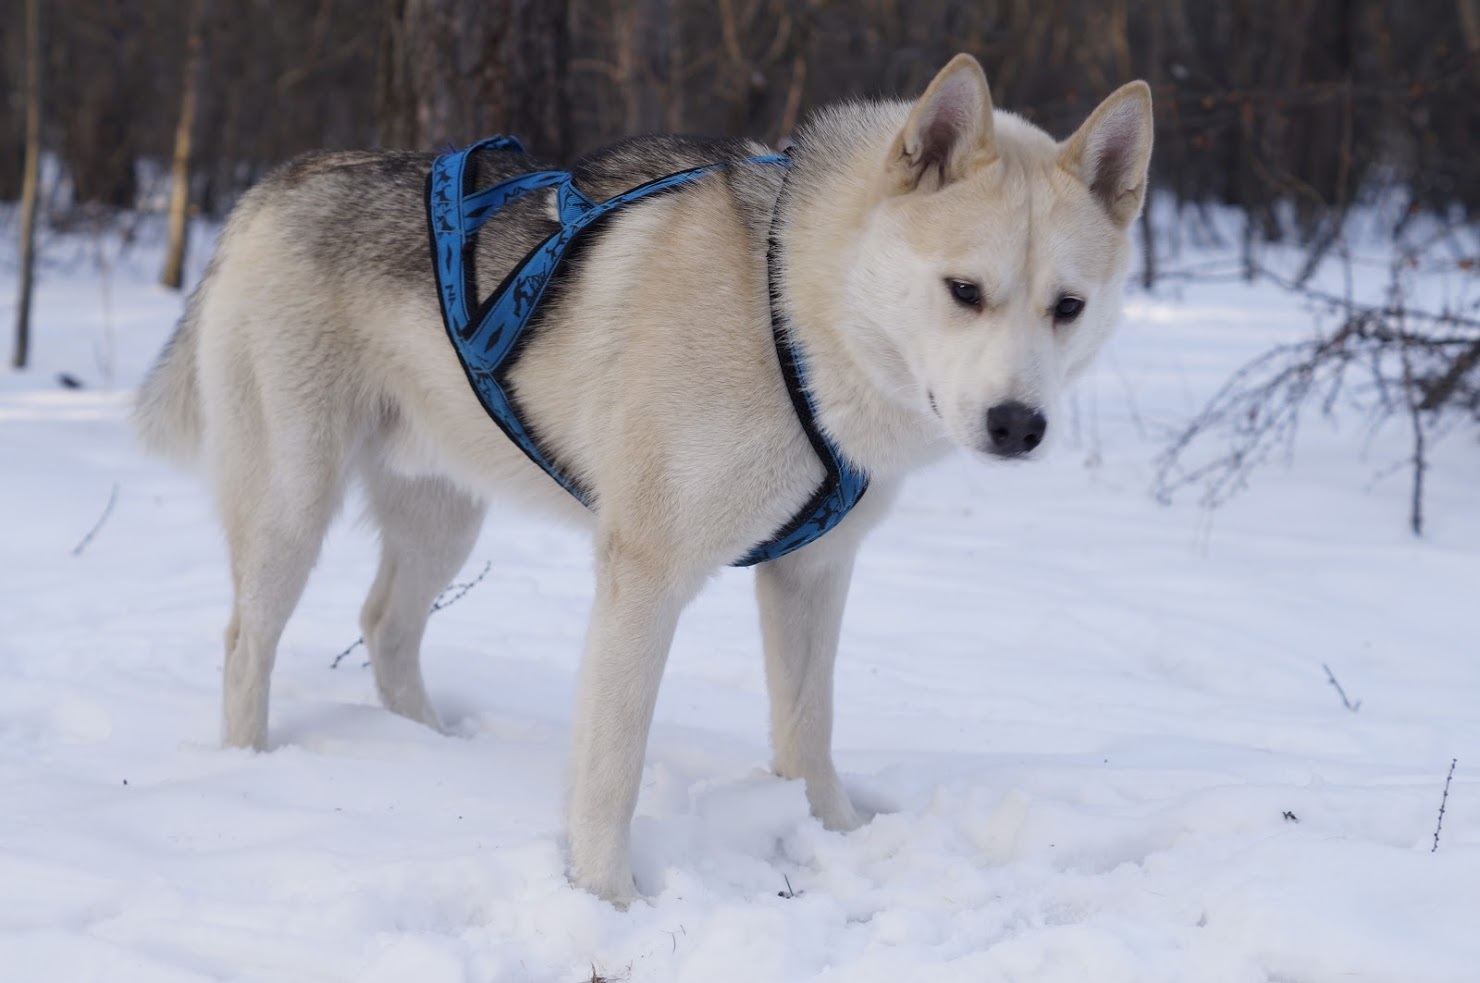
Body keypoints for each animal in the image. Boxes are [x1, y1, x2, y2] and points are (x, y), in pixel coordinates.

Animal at [136, 51, 1154, 900]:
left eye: (1068, 307)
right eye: (964, 291)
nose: (1018, 425)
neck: (789, 311)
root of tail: (276, 184)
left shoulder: (812, 573)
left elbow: (808, 730)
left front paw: (834, 839)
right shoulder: (646, 577)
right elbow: (613, 767)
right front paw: (608, 903)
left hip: (444, 519)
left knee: (386, 627)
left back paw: (428, 747)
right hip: (292, 505)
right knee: (247, 643)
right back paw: (252, 766)